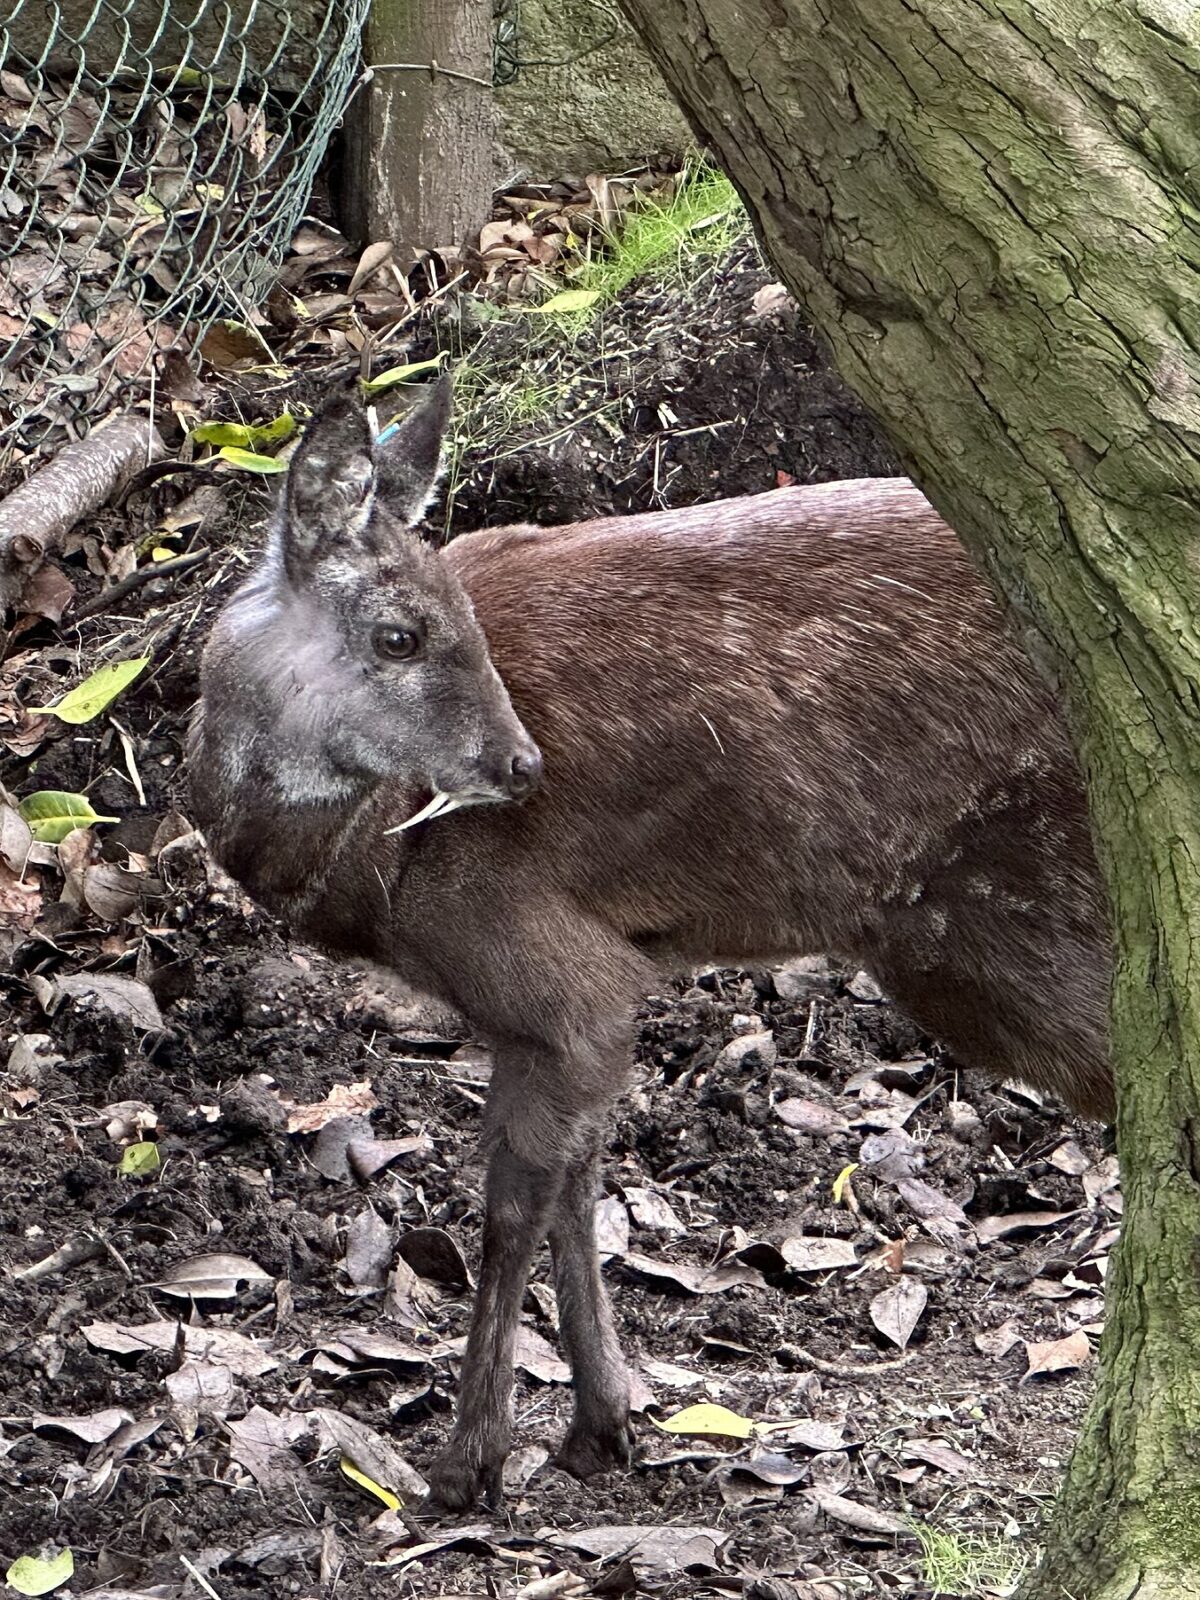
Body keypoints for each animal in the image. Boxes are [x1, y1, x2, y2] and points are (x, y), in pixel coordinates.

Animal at [189, 376, 1111, 1511]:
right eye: (400, 634)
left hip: (1012, 911)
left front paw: (468, 1462)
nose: (521, 765)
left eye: (458, 626)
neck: (375, 866)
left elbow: (513, 1202)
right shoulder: (550, 1004)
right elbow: (577, 1181)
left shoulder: (554, 968)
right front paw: (601, 1425)